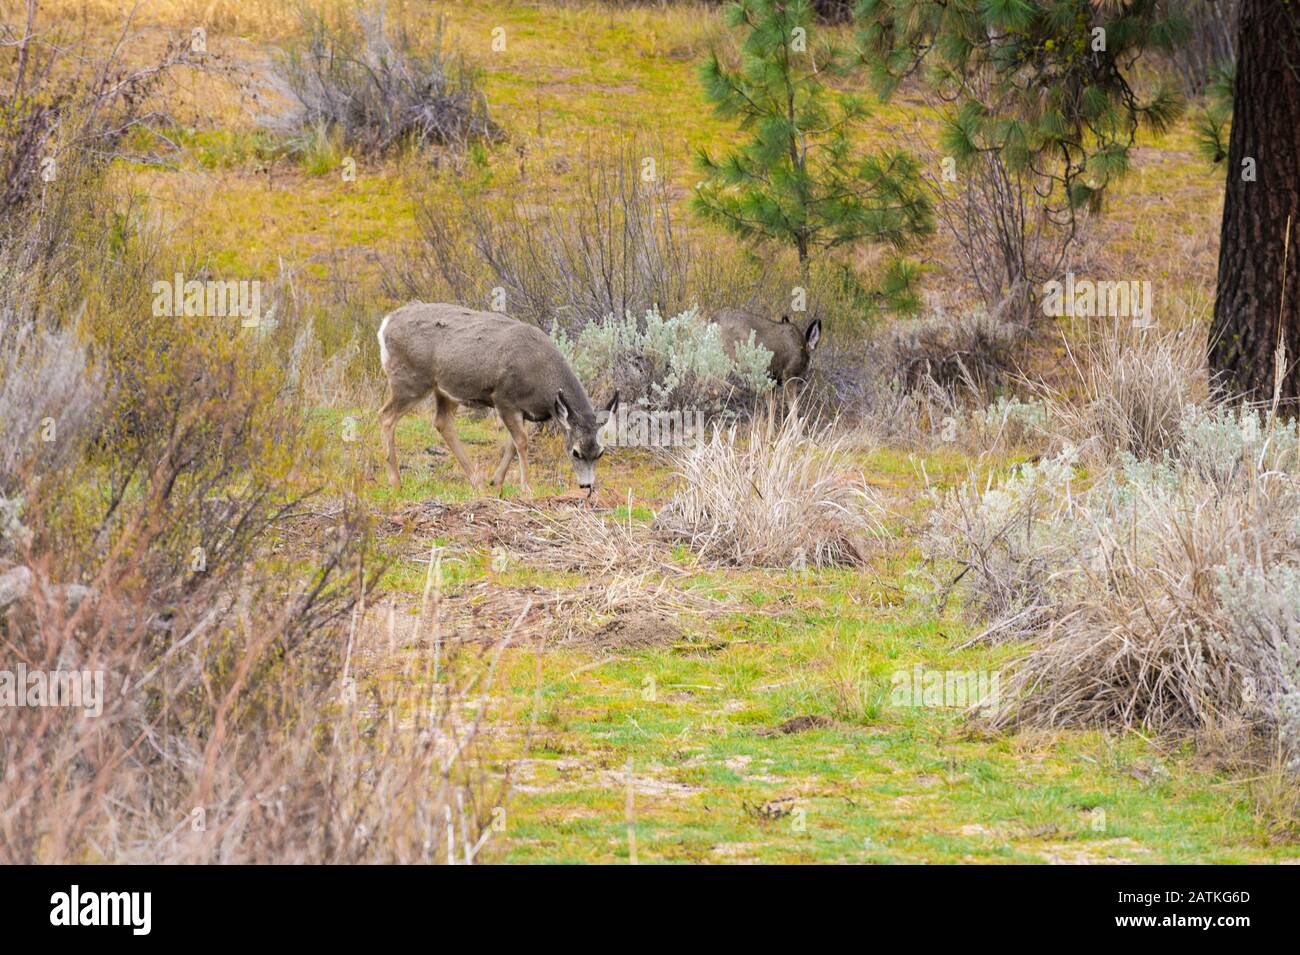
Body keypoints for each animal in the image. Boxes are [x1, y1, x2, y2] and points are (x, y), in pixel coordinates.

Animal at [377, 303, 619, 496]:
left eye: (600, 452)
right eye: (575, 451)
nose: (587, 486)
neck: (541, 377)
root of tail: (385, 324)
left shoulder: (523, 410)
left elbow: (513, 444)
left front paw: (496, 481)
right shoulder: (504, 398)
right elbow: (522, 442)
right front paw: (526, 488)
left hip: (445, 390)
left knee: (441, 422)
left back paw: (478, 482)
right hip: (410, 380)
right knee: (385, 416)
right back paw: (396, 482)